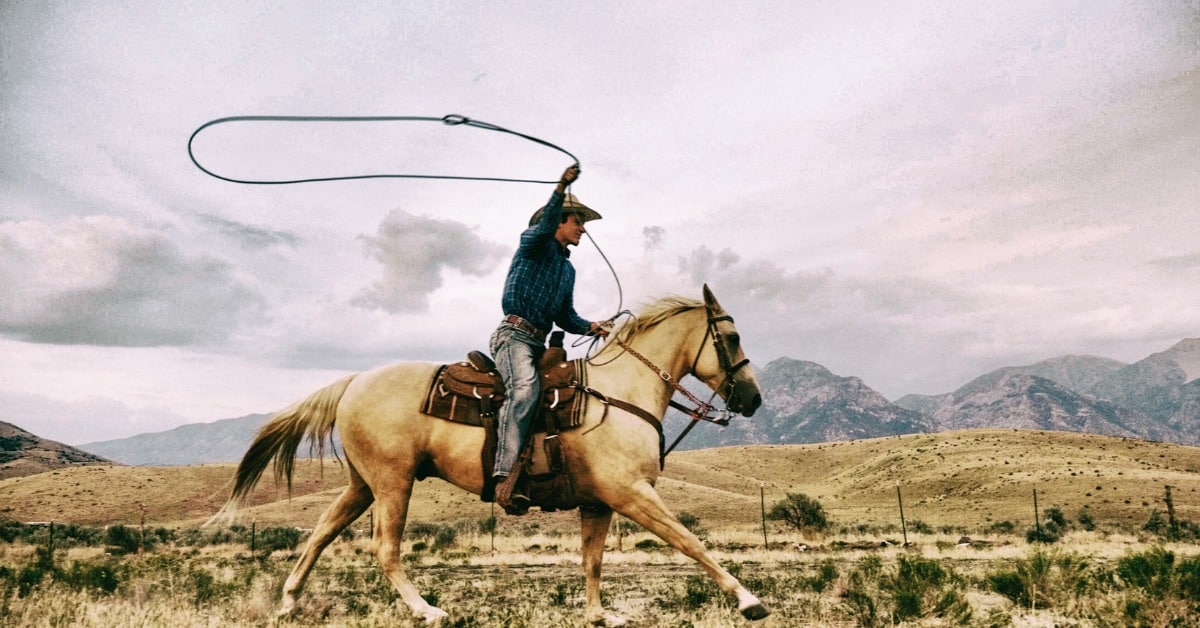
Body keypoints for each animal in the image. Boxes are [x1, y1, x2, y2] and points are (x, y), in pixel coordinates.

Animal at [219, 284, 763, 624]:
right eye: (732, 337)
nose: (754, 399)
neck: (619, 392)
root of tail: (354, 382)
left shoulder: (599, 502)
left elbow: (592, 561)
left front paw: (597, 614)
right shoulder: (632, 494)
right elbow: (691, 543)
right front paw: (748, 601)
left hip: (362, 484)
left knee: (320, 532)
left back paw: (289, 602)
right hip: (393, 483)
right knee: (385, 549)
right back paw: (427, 611)